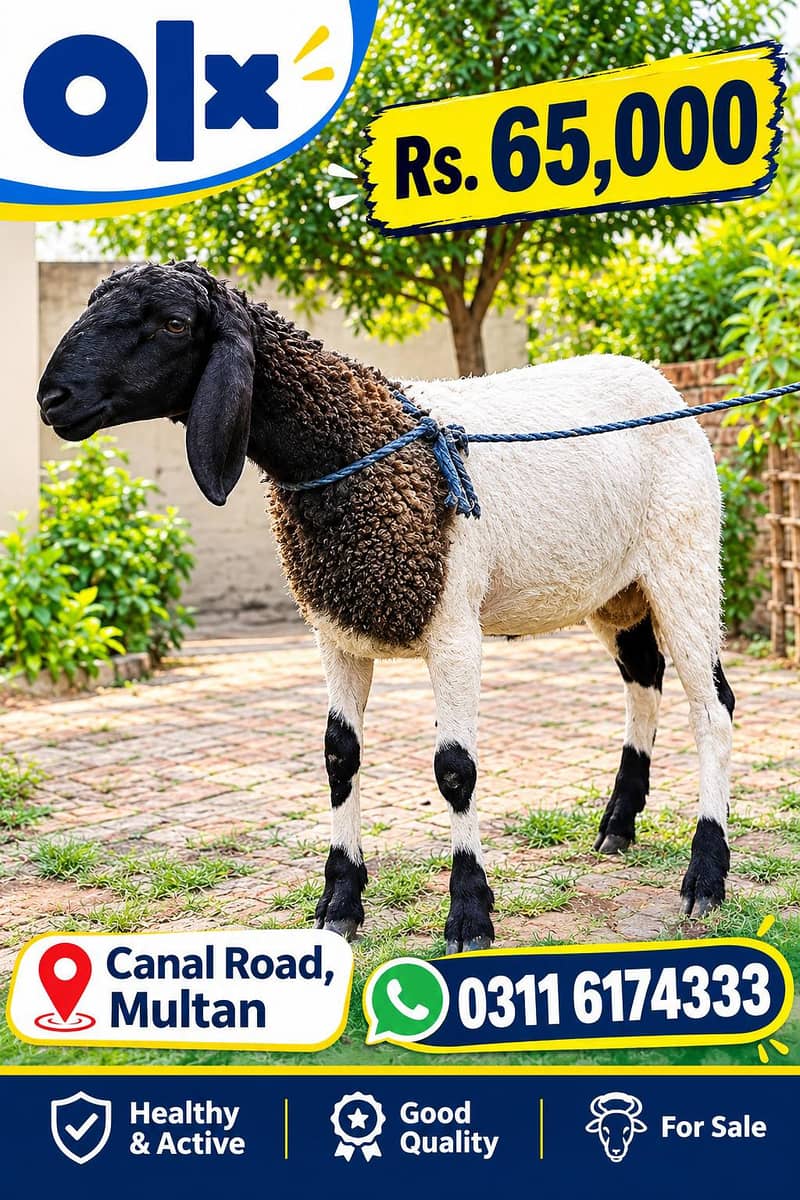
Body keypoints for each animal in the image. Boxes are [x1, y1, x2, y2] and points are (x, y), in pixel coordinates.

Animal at [37, 261, 736, 952]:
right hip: (616, 591)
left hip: (685, 562)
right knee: (644, 678)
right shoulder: (336, 634)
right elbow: (338, 756)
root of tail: (661, 382)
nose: (52, 399)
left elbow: (455, 769)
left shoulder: (454, 630)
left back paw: (704, 877)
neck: (360, 444)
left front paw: (469, 916)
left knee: (712, 708)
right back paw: (618, 825)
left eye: (175, 324)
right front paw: (339, 904)